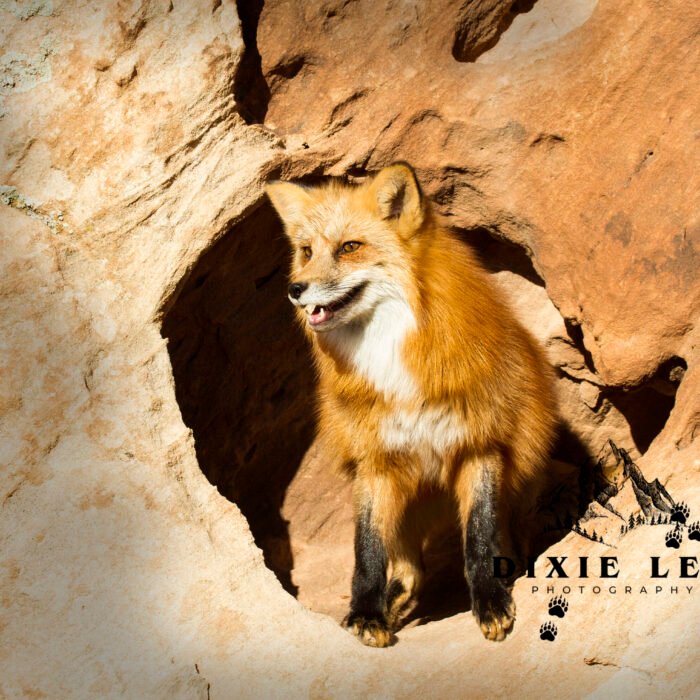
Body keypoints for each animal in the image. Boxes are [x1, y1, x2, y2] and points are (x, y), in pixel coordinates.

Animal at [266, 162, 557, 646]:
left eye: (349, 247)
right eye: (306, 251)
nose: (295, 288)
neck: (391, 355)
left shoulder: (479, 444)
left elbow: (480, 539)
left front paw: (490, 600)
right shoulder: (376, 460)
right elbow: (367, 551)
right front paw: (366, 613)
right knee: (408, 567)